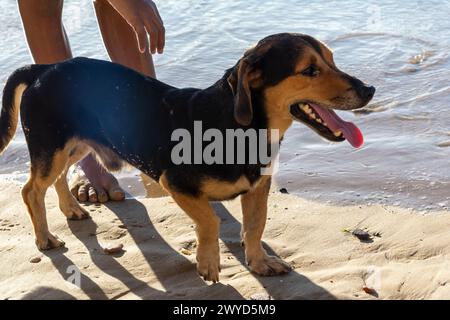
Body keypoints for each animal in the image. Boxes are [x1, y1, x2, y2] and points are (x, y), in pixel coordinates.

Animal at [0, 33, 374, 282]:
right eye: (309, 70)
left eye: (332, 59)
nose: (370, 90)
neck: (240, 127)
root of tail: (42, 68)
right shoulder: (175, 183)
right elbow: (210, 221)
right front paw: (208, 262)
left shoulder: (258, 189)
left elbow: (255, 227)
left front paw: (259, 263)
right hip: (52, 147)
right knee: (31, 190)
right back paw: (45, 238)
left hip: (73, 145)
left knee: (58, 179)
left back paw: (72, 209)